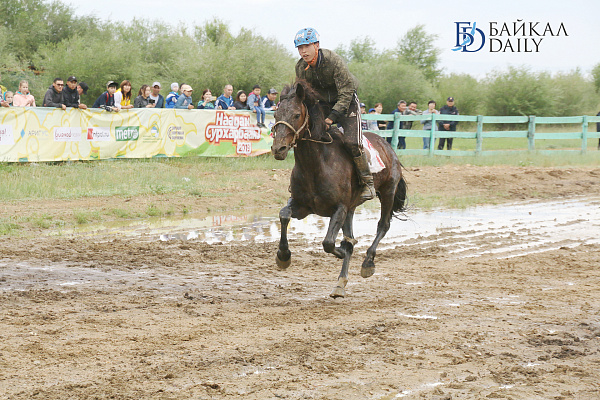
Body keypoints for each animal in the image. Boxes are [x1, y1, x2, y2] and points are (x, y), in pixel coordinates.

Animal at [270, 80, 407, 298]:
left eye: (296, 115)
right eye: (276, 115)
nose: (278, 149)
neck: (316, 164)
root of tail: (388, 147)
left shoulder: (340, 208)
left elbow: (329, 243)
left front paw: (344, 250)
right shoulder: (303, 206)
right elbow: (284, 215)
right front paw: (283, 256)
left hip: (387, 192)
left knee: (383, 225)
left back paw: (367, 263)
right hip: (352, 208)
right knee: (351, 234)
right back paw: (340, 283)